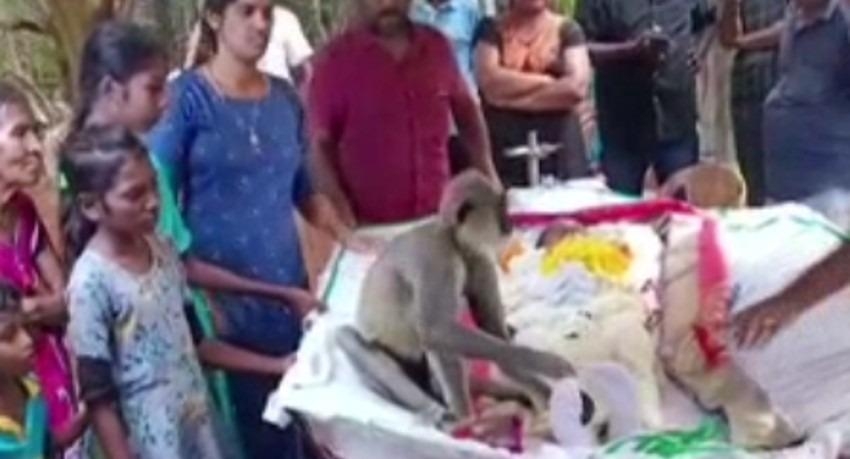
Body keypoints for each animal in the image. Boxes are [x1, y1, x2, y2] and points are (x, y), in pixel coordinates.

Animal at [334, 171, 572, 430]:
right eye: (500, 209)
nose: (509, 225)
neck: (452, 238)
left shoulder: (477, 256)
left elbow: (492, 330)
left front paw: (535, 386)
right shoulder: (436, 257)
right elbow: (436, 330)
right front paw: (547, 364)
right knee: (351, 336)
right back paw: (456, 416)